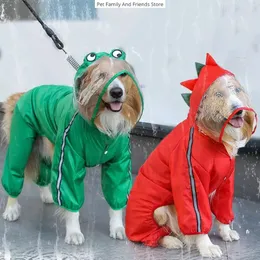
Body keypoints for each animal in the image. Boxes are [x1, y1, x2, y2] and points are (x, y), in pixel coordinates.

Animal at [1, 49, 143, 246]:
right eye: (101, 75)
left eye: (122, 75)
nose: (116, 92)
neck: (102, 125)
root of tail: (24, 93)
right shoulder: (69, 159)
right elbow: (72, 203)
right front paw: (74, 232)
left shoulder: (118, 164)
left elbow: (116, 197)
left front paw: (117, 227)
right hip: (21, 146)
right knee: (14, 175)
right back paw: (11, 209)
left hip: (47, 146)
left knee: (42, 173)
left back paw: (47, 195)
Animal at [125, 53, 256, 258]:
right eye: (218, 94)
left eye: (237, 90)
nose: (239, 109)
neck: (211, 137)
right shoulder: (191, 179)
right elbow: (198, 218)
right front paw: (206, 246)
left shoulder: (226, 182)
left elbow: (223, 211)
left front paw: (226, 232)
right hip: (157, 211)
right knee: (154, 235)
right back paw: (172, 240)